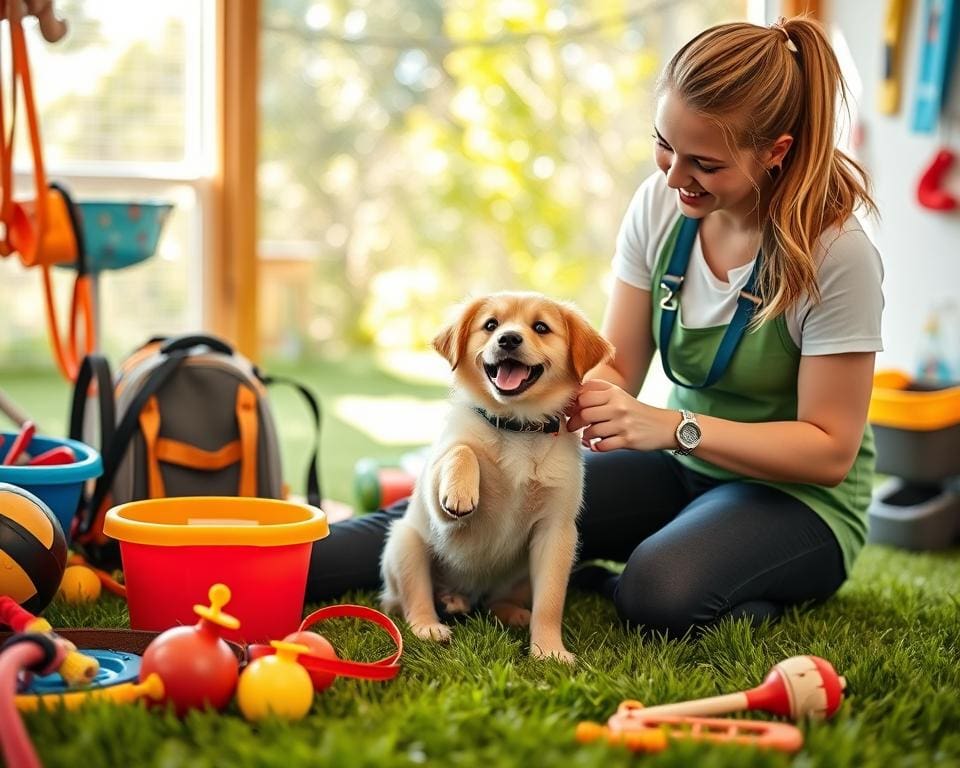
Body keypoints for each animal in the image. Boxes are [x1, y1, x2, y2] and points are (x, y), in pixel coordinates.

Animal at [378, 292, 612, 664]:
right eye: (491, 325)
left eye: (541, 327)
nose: (508, 339)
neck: (516, 426)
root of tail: (465, 593)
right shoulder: (440, 508)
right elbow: (462, 450)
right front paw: (460, 492)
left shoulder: (556, 533)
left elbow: (550, 603)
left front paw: (549, 650)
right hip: (404, 544)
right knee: (414, 601)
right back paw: (431, 624)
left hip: (521, 575)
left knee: (495, 601)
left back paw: (512, 613)